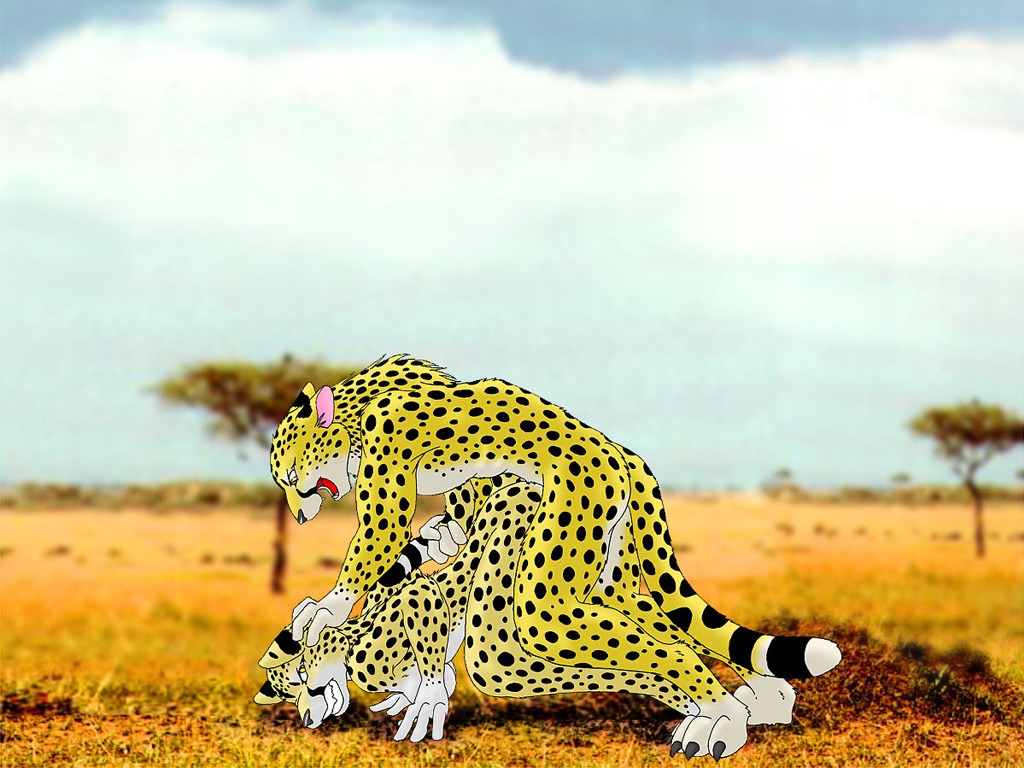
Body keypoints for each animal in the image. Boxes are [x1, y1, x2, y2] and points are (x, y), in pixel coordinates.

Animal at [268, 355, 842, 759]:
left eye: (293, 477)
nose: (297, 514)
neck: (357, 406)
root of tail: (620, 453)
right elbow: (458, 512)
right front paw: (443, 536)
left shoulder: (392, 448)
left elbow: (382, 535)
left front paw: (326, 608)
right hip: (611, 568)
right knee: (664, 621)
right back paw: (763, 699)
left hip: (558, 566)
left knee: (638, 641)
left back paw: (722, 715)